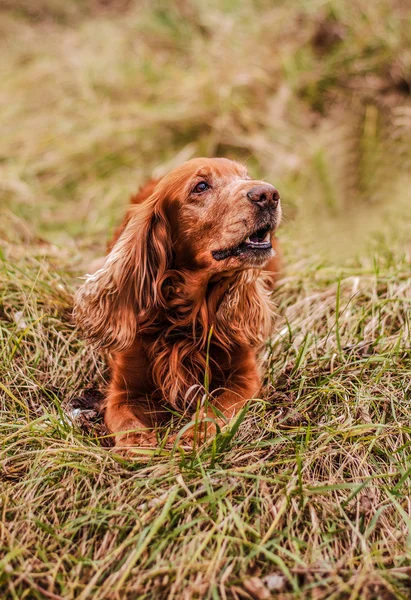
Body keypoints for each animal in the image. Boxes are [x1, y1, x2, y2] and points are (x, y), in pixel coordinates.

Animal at [74, 157, 282, 448]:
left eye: (246, 177)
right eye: (201, 186)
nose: (269, 194)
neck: (187, 318)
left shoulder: (244, 377)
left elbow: (215, 409)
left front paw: (190, 438)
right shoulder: (124, 392)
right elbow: (128, 426)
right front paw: (142, 448)